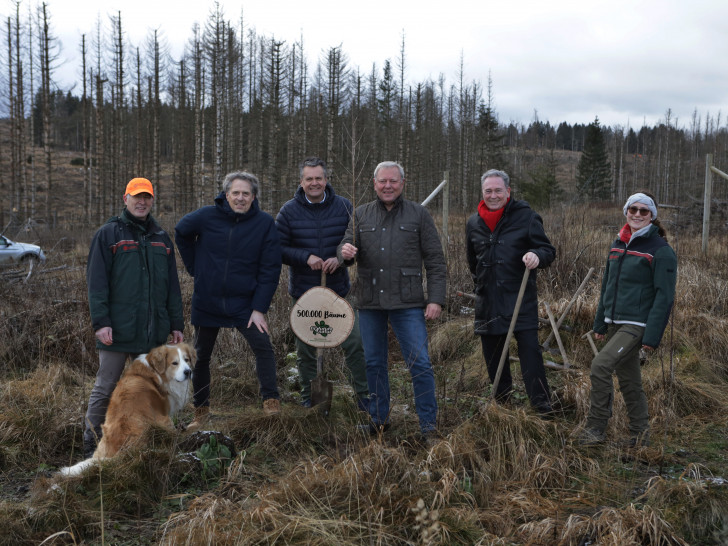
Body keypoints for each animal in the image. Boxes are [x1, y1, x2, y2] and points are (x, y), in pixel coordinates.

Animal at [60, 342, 196, 474]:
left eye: (187, 360)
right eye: (174, 363)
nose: (188, 372)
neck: (155, 371)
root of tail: (123, 450)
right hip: (164, 422)